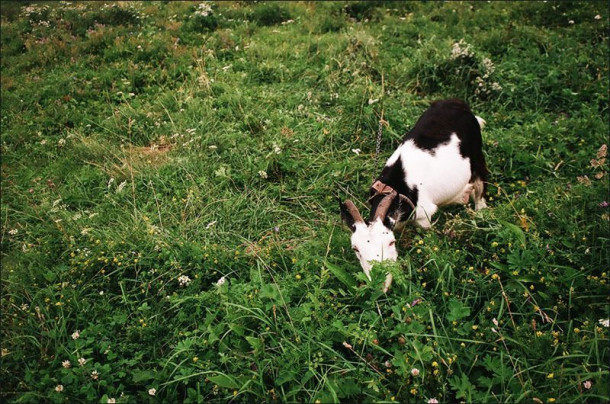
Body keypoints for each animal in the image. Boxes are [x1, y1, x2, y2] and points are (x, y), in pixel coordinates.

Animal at [340, 99, 486, 292]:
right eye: (356, 249)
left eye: (391, 242)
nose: (380, 284)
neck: (396, 189)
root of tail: (459, 103)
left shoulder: (424, 214)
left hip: (477, 154)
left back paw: (481, 213)